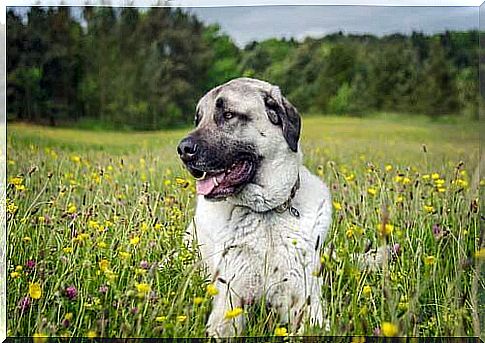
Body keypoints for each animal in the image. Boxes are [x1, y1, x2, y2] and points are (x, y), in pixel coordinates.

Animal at [176, 78, 330, 338]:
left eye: (228, 115)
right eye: (198, 120)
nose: (182, 150)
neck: (265, 213)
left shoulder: (306, 299)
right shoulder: (230, 300)